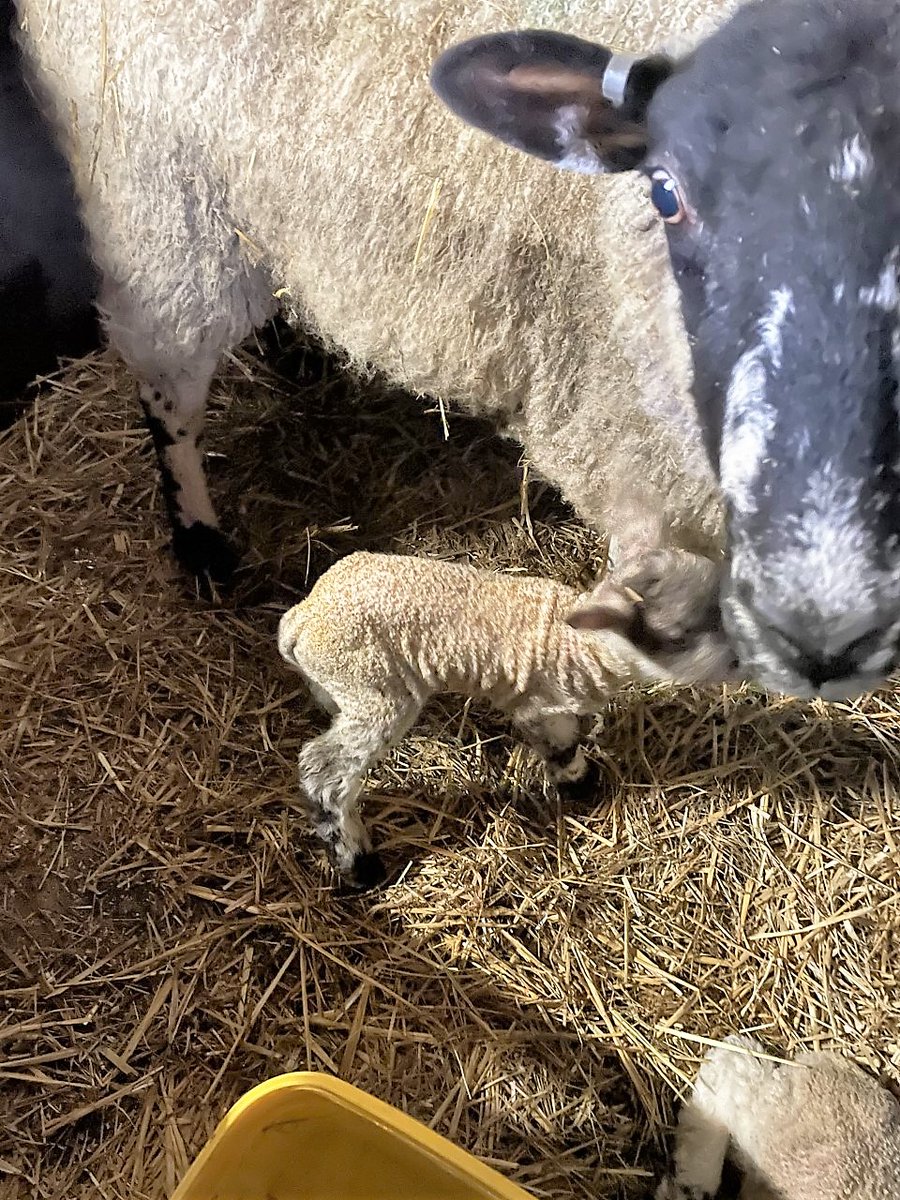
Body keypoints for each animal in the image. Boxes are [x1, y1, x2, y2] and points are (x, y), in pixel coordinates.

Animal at [277, 548, 736, 887]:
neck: (582, 643)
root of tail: (301, 619)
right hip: (373, 687)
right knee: (324, 771)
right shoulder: (542, 706)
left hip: (342, 684)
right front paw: (583, 787)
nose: (740, 657)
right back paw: (359, 865)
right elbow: (563, 748)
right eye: (678, 635)